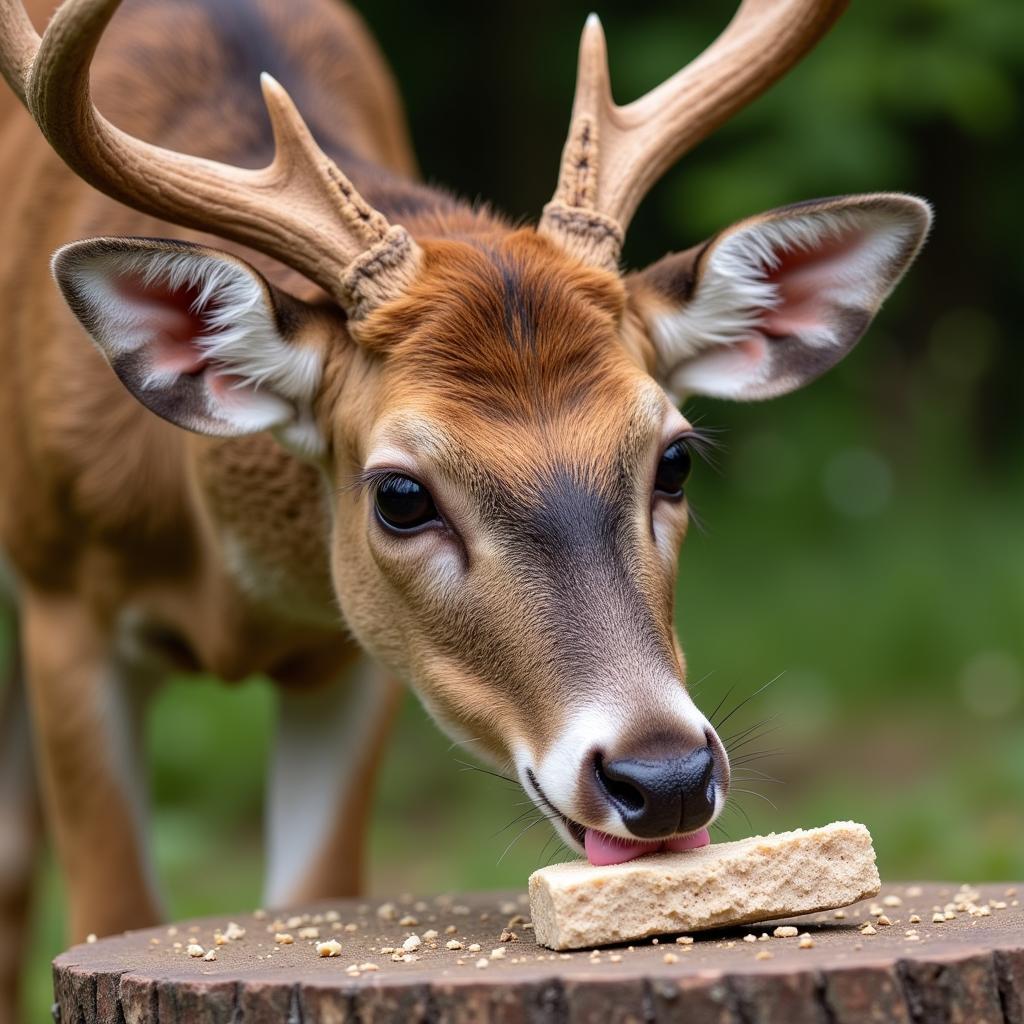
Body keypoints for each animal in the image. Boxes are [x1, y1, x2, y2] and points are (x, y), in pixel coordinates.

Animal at [0, 0, 929, 1011]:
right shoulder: (63, 602)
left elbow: (314, 890)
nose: (665, 775)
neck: (227, 581)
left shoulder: (355, 657)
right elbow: (111, 909)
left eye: (676, 460)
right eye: (402, 496)